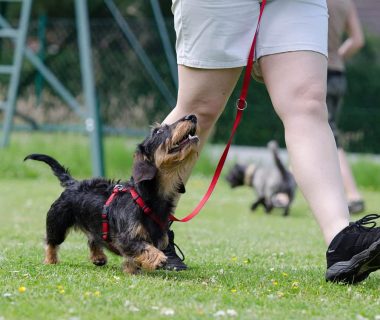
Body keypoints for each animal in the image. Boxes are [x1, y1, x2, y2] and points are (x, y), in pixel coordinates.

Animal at [24, 114, 199, 274]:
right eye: (158, 131)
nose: (191, 116)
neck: (145, 197)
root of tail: (73, 183)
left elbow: (134, 256)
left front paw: (131, 269)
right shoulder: (125, 238)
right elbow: (143, 247)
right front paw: (158, 258)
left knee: (93, 239)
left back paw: (98, 257)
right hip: (57, 223)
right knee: (51, 242)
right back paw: (50, 260)